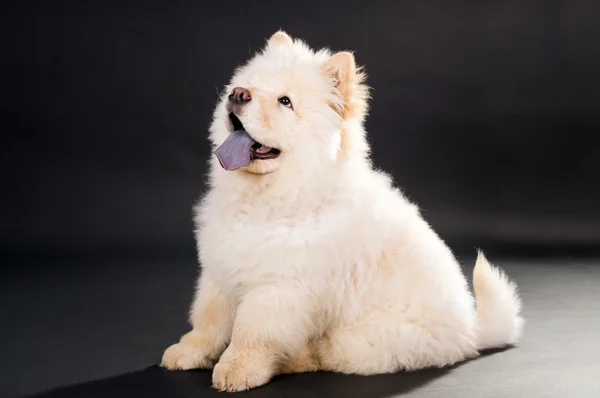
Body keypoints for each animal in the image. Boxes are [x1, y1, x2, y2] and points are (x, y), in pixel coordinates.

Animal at [162, 30, 524, 392]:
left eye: (285, 102)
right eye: (250, 84)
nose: (238, 94)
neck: (268, 197)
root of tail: (471, 332)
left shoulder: (279, 287)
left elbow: (251, 333)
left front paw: (236, 369)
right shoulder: (221, 270)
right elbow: (208, 320)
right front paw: (187, 352)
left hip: (364, 336)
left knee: (324, 353)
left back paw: (293, 360)